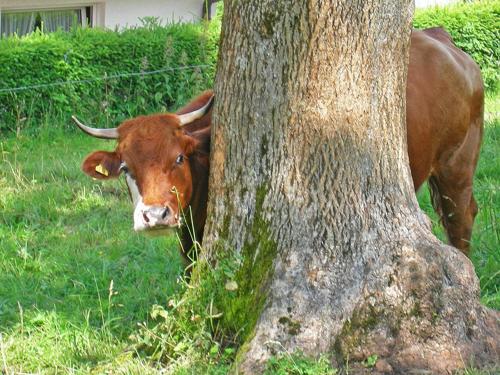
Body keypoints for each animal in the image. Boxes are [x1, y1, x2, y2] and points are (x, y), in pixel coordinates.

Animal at [74, 27, 484, 260]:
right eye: (126, 168)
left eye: (178, 158)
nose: (154, 216)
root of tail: (442, 39)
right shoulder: (191, 235)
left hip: (457, 165)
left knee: (461, 218)